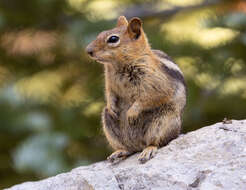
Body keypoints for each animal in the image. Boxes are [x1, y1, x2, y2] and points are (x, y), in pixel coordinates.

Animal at [86, 15, 186, 163]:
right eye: (100, 33)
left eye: (113, 39)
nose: (88, 51)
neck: (119, 65)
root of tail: (139, 145)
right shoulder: (109, 83)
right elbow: (109, 93)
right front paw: (111, 106)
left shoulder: (156, 83)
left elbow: (151, 97)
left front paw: (132, 113)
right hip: (108, 123)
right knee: (128, 148)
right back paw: (120, 151)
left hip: (164, 120)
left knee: (156, 142)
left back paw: (148, 150)